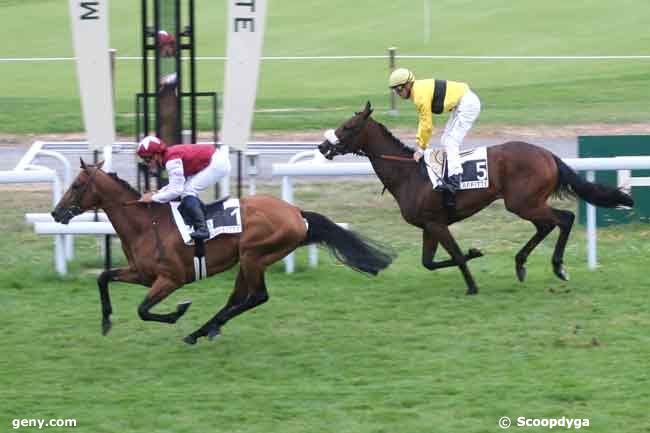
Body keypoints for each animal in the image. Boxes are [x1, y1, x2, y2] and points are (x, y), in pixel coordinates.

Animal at [50, 159, 392, 344]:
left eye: (77, 185)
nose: (56, 213)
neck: (145, 224)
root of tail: (297, 212)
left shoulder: (170, 279)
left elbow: (143, 310)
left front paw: (179, 311)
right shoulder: (141, 273)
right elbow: (104, 277)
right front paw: (106, 321)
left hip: (255, 255)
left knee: (256, 296)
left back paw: (202, 329)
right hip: (247, 260)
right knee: (239, 298)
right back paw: (206, 329)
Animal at [316, 103, 632, 296]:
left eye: (348, 127)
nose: (321, 146)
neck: (409, 174)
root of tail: (548, 154)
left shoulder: (437, 223)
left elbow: (454, 255)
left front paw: (472, 284)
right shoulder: (429, 226)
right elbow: (428, 263)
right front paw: (475, 254)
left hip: (522, 202)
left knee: (564, 219)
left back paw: (557, 267)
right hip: (527, 203)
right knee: (548, 225)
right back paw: (521, 263)